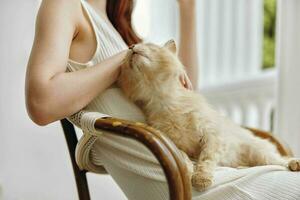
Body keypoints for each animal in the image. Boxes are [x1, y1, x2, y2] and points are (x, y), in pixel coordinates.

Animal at [118, 39, 300, 191]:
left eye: (149, 45)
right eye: (126, 60)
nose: (131, 46)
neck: (165, 102)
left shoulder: (212, 136)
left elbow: (205, 159)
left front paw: (201, 178)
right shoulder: (173, 142)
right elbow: (183, 156)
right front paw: (188, 169)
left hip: (261, 153)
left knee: (281, 160)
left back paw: (294, 163)